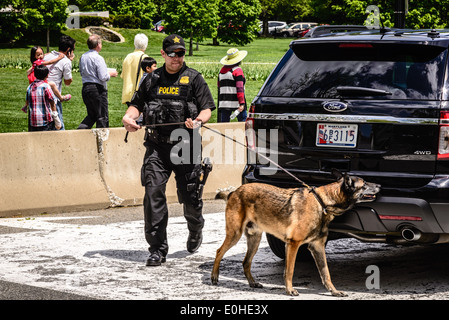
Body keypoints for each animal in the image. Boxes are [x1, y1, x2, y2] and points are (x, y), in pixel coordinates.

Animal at [210, 172, 378, 298]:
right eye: (364, 184)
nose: (379, 186)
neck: (322, 202)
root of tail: (235, 191)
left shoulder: (317, 247)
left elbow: (326, 273)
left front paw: (334, 291)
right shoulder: (293, 244)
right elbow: (289, 270)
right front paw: (290, 290)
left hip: (255, 240)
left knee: (246, 262)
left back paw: (252, 282)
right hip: (235, 234)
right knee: (219, 251)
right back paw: (214, 276)